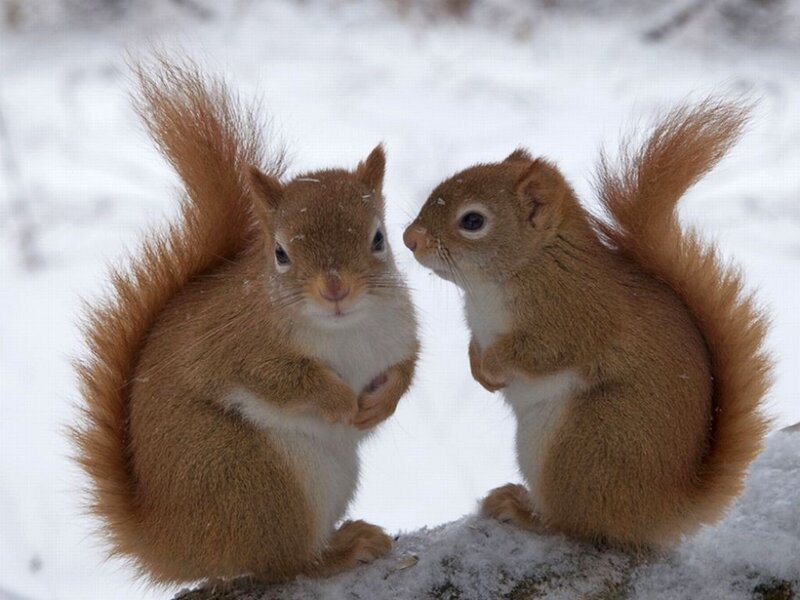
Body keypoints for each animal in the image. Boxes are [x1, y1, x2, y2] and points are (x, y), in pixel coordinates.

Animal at [71, 59, 419, 585]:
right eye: (280, 253)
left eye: (379, 239)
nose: (335, 288)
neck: (342, 328)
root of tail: (174, 544)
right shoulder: (235, 345)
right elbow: (280, 379)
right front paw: (339, 401)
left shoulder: (400, 332)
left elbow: (406, 369)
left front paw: (381, 403)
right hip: (256, 481)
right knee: (283, 562)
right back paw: (339, 551)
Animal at [403, 100, 771, 548]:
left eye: (472, 221)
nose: (409, 238)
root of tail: (660, 513)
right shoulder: (482, 325)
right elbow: (476, 345)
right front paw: (478, 369)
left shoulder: (574, 318)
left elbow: (538, 353)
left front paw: (491, 366)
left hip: (585, 445)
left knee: (573, 524)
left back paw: (524, 511)